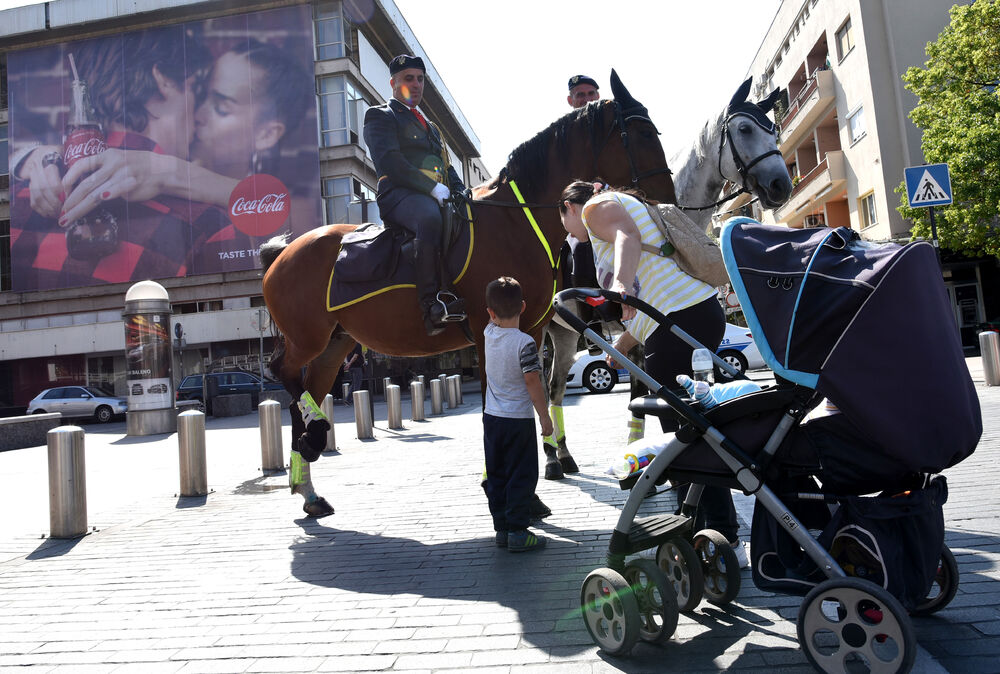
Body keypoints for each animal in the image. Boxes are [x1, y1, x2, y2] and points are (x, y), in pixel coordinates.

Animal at [262, 71, 676, 516]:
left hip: (333, 346)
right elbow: (497, 406)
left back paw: (309, 484)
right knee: (281, 371)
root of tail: (282, 253)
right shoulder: (488, 331)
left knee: (306, 391)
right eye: (642, 133)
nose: (667, 199)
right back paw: (315, 434)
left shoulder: (532, 331)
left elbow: (532, 395)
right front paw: (504, 484)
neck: (515, 222)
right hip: (308, 339)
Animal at [544, 77, 792, 478]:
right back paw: (552, 459)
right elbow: (642, 388)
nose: (780, 186)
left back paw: (564, 456)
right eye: (744, 129)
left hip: (565, 334)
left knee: (553, 388)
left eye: (774, 131)